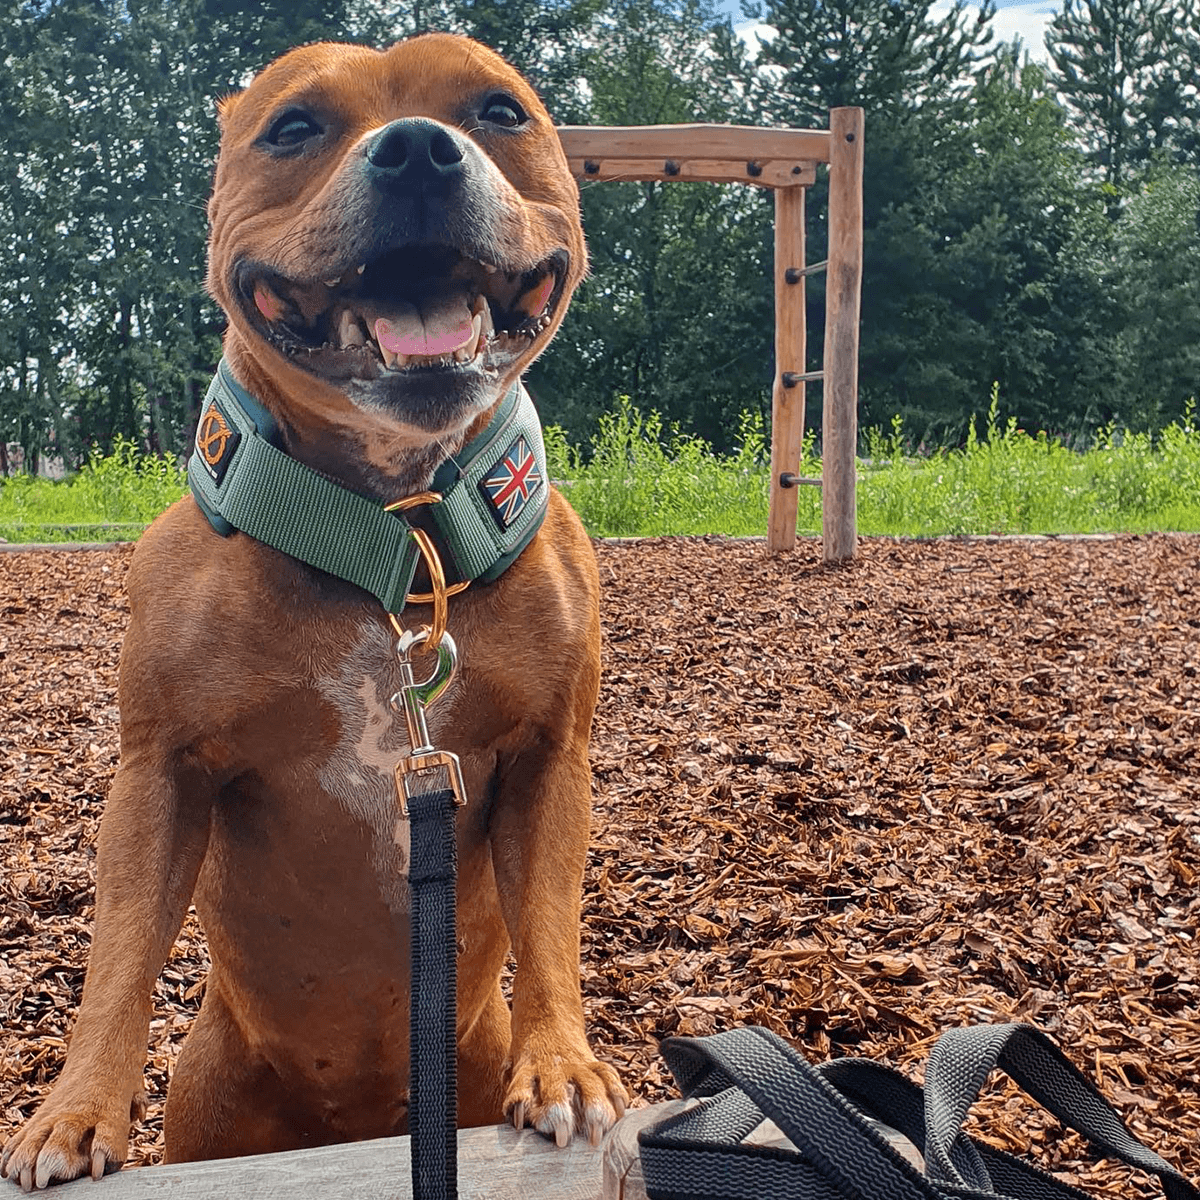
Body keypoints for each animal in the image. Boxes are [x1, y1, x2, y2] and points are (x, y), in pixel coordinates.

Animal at [4, 30, 628, 1190]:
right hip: (211, 1100)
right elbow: (118, 951)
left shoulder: (549, 760)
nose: (421, 150)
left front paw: (564, 1063)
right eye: (293, 126)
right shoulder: (160, 774)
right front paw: (74, 1112)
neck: (394, 530)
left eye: (499, 111)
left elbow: (551, 926)